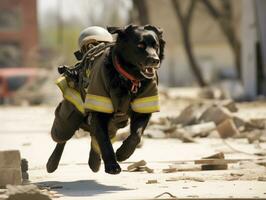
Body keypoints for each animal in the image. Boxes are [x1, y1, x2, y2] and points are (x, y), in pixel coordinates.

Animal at [46, 24, 165, 175]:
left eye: (156, 46)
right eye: (140, 45)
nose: (155, 60)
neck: (128, 79)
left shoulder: (143, 109)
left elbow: (136, 135)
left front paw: (122, 153)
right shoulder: (99, 110)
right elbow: (104, 140)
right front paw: (112, 165)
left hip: (114, 124)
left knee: (95, 138)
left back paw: (94, 162)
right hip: (69, 119)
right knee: (62, 137)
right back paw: (52, 163)